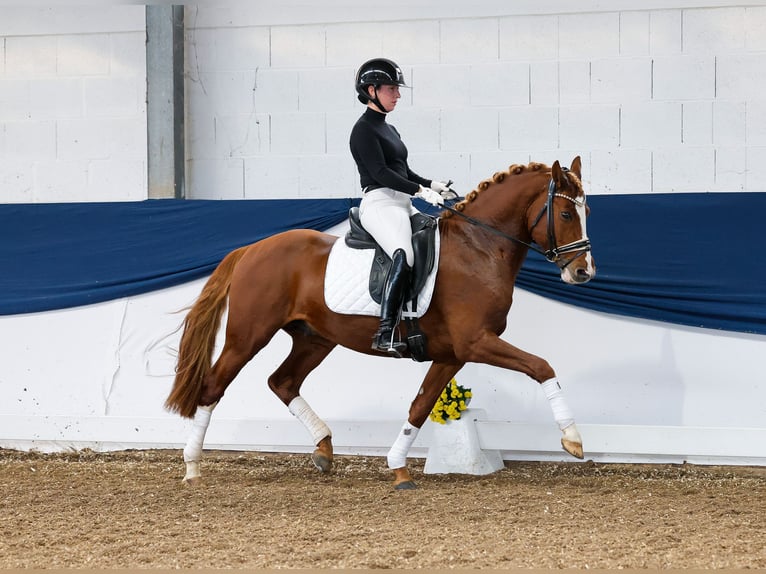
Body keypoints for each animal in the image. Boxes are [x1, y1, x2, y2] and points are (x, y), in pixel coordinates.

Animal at [166, 158, 600, 490]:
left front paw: (399, 467)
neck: (478, 248)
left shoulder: (453, 354)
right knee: (213, 387)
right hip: (248, 337)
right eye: (565, 213)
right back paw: (192, 467)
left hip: (315, 339)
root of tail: (250, 249)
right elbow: (541, 366)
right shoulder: (476, 342)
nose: (583, 272)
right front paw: (573, 439)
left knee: (282, 381)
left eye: (587, 213)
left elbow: (420, 406)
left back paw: (324, 449)